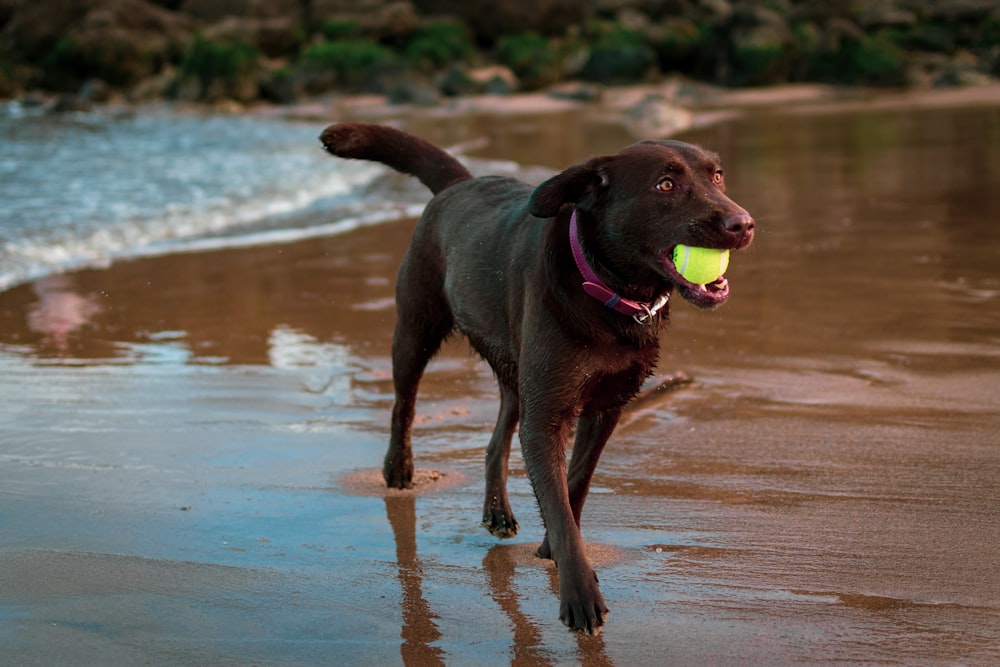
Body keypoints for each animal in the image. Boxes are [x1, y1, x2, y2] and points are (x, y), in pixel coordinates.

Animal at [318, 122, 752, 636]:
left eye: (717, 176)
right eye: (665, 185)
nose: (744, 224)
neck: (607, 290)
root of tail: (459, 183)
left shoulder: (605, 408)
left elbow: (574, 484)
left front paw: (552, 546)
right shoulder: (547, 414)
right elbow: (559, 503)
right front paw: (579, 594)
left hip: (515, 370)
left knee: (497, 437)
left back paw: (496, 509)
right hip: (416, 329)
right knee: (403, 404)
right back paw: (399, 469)